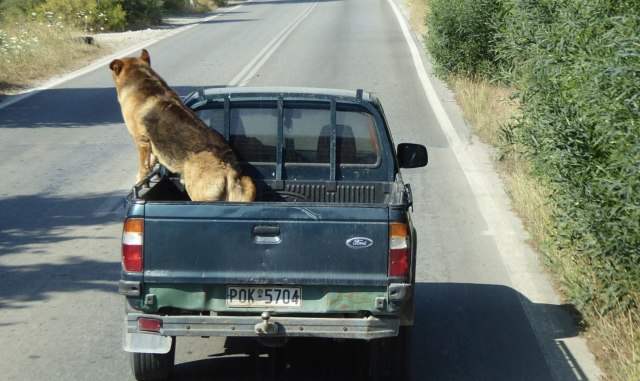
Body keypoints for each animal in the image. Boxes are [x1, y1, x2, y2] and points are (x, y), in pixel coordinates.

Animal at [109, 50, 255, 202]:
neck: (143, 80)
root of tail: (230, 169)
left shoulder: (141, 140)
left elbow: (144, 167)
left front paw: (140, 181)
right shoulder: (151, 144)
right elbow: (152, 161)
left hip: (197, 193)